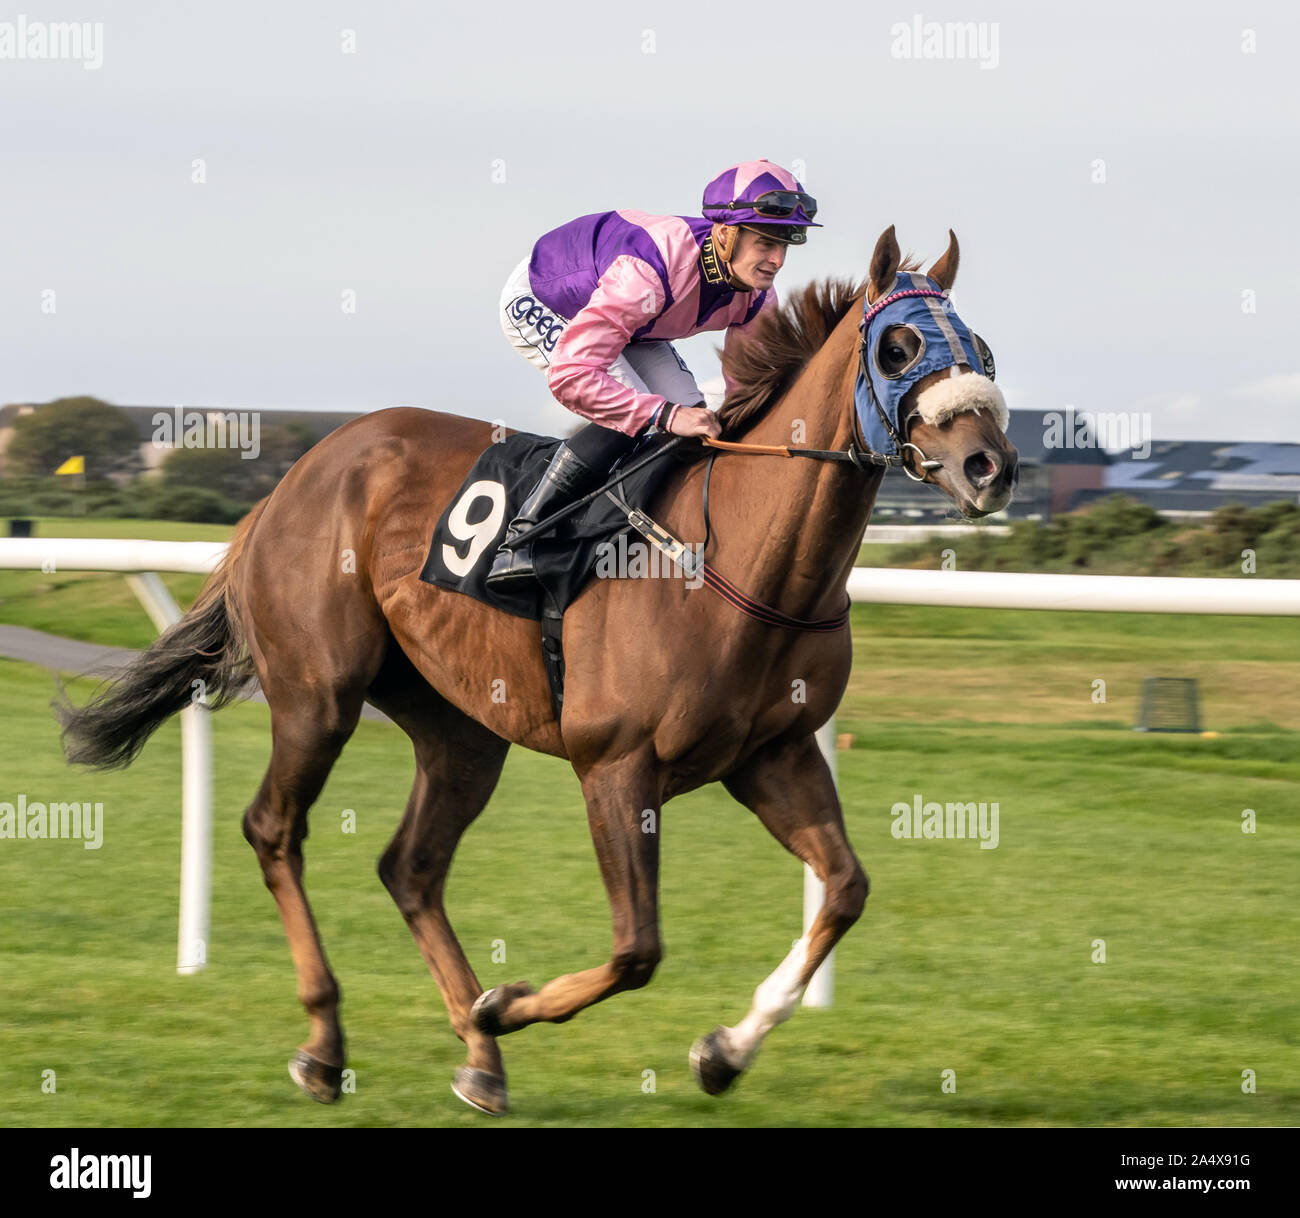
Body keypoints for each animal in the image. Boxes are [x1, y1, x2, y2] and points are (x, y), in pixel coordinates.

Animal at [58, 226, 1013, 1112]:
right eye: (898, 348)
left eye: (983, 348)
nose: (989, 466)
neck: (738, 557)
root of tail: (294, 480)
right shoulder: (617, 763)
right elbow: (637, 949)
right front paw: (508, 1004)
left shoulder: (772, 755)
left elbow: (844, 890)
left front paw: (722, 1051)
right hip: (318, 695)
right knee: (274, 829)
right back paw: (328, 1045)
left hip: (462, 728)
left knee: (410, 867)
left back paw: (480, 1061)